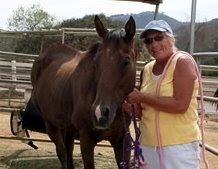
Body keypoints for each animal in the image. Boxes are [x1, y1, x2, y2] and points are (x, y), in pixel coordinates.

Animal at [30, 15, 136, 169]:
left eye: (126, 62)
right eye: (96, 61)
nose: (99, 113)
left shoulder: (122, 140)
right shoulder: (86, 140)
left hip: (69, 128)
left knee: (68, 152)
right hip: (51, 125)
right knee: (62, 153)